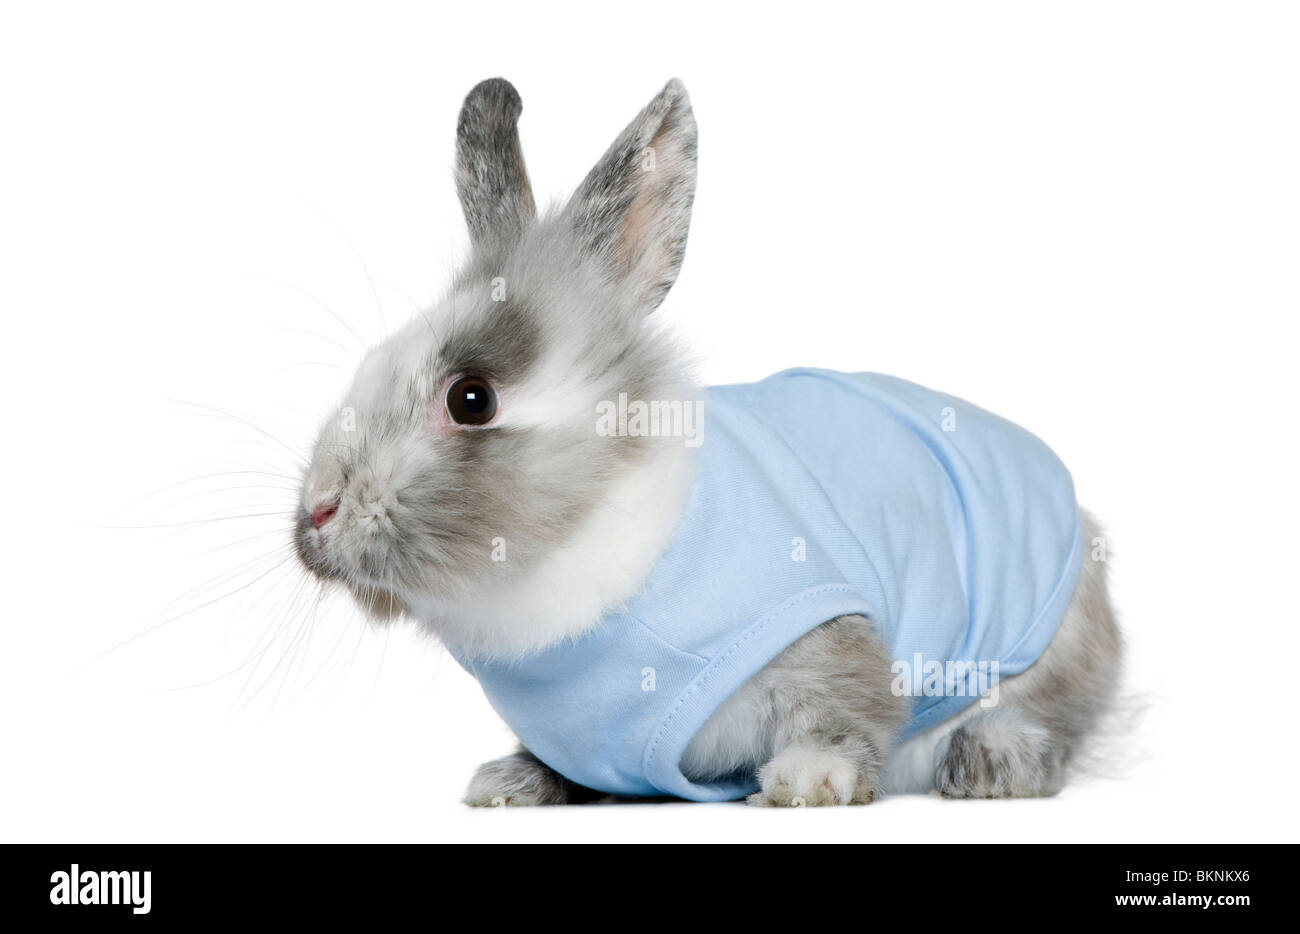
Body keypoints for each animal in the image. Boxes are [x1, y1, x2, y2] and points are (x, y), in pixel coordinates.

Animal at [293, 77, 1123, 806]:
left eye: (471, 399)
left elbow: (851, 708)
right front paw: (507, 785)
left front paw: (807, 781)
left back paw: (990, 762)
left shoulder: (828, 632)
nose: (319, 512)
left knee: (1050, 722)